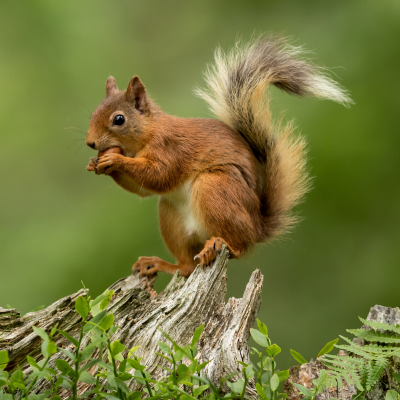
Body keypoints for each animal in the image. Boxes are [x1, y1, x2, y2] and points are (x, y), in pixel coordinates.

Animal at [84, 36, 350, 278]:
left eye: (119, 119)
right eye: (93, 112)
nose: (90, 143)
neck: (147, 133)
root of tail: (257, 227)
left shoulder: (171, 149)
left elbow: (159, 175)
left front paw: (115, 160)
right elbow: (143, 189)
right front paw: (96, 163)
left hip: (215, 188)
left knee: (238, 248)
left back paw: (221, 244)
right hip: (172, 217)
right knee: (186, 267)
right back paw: (159, 263)